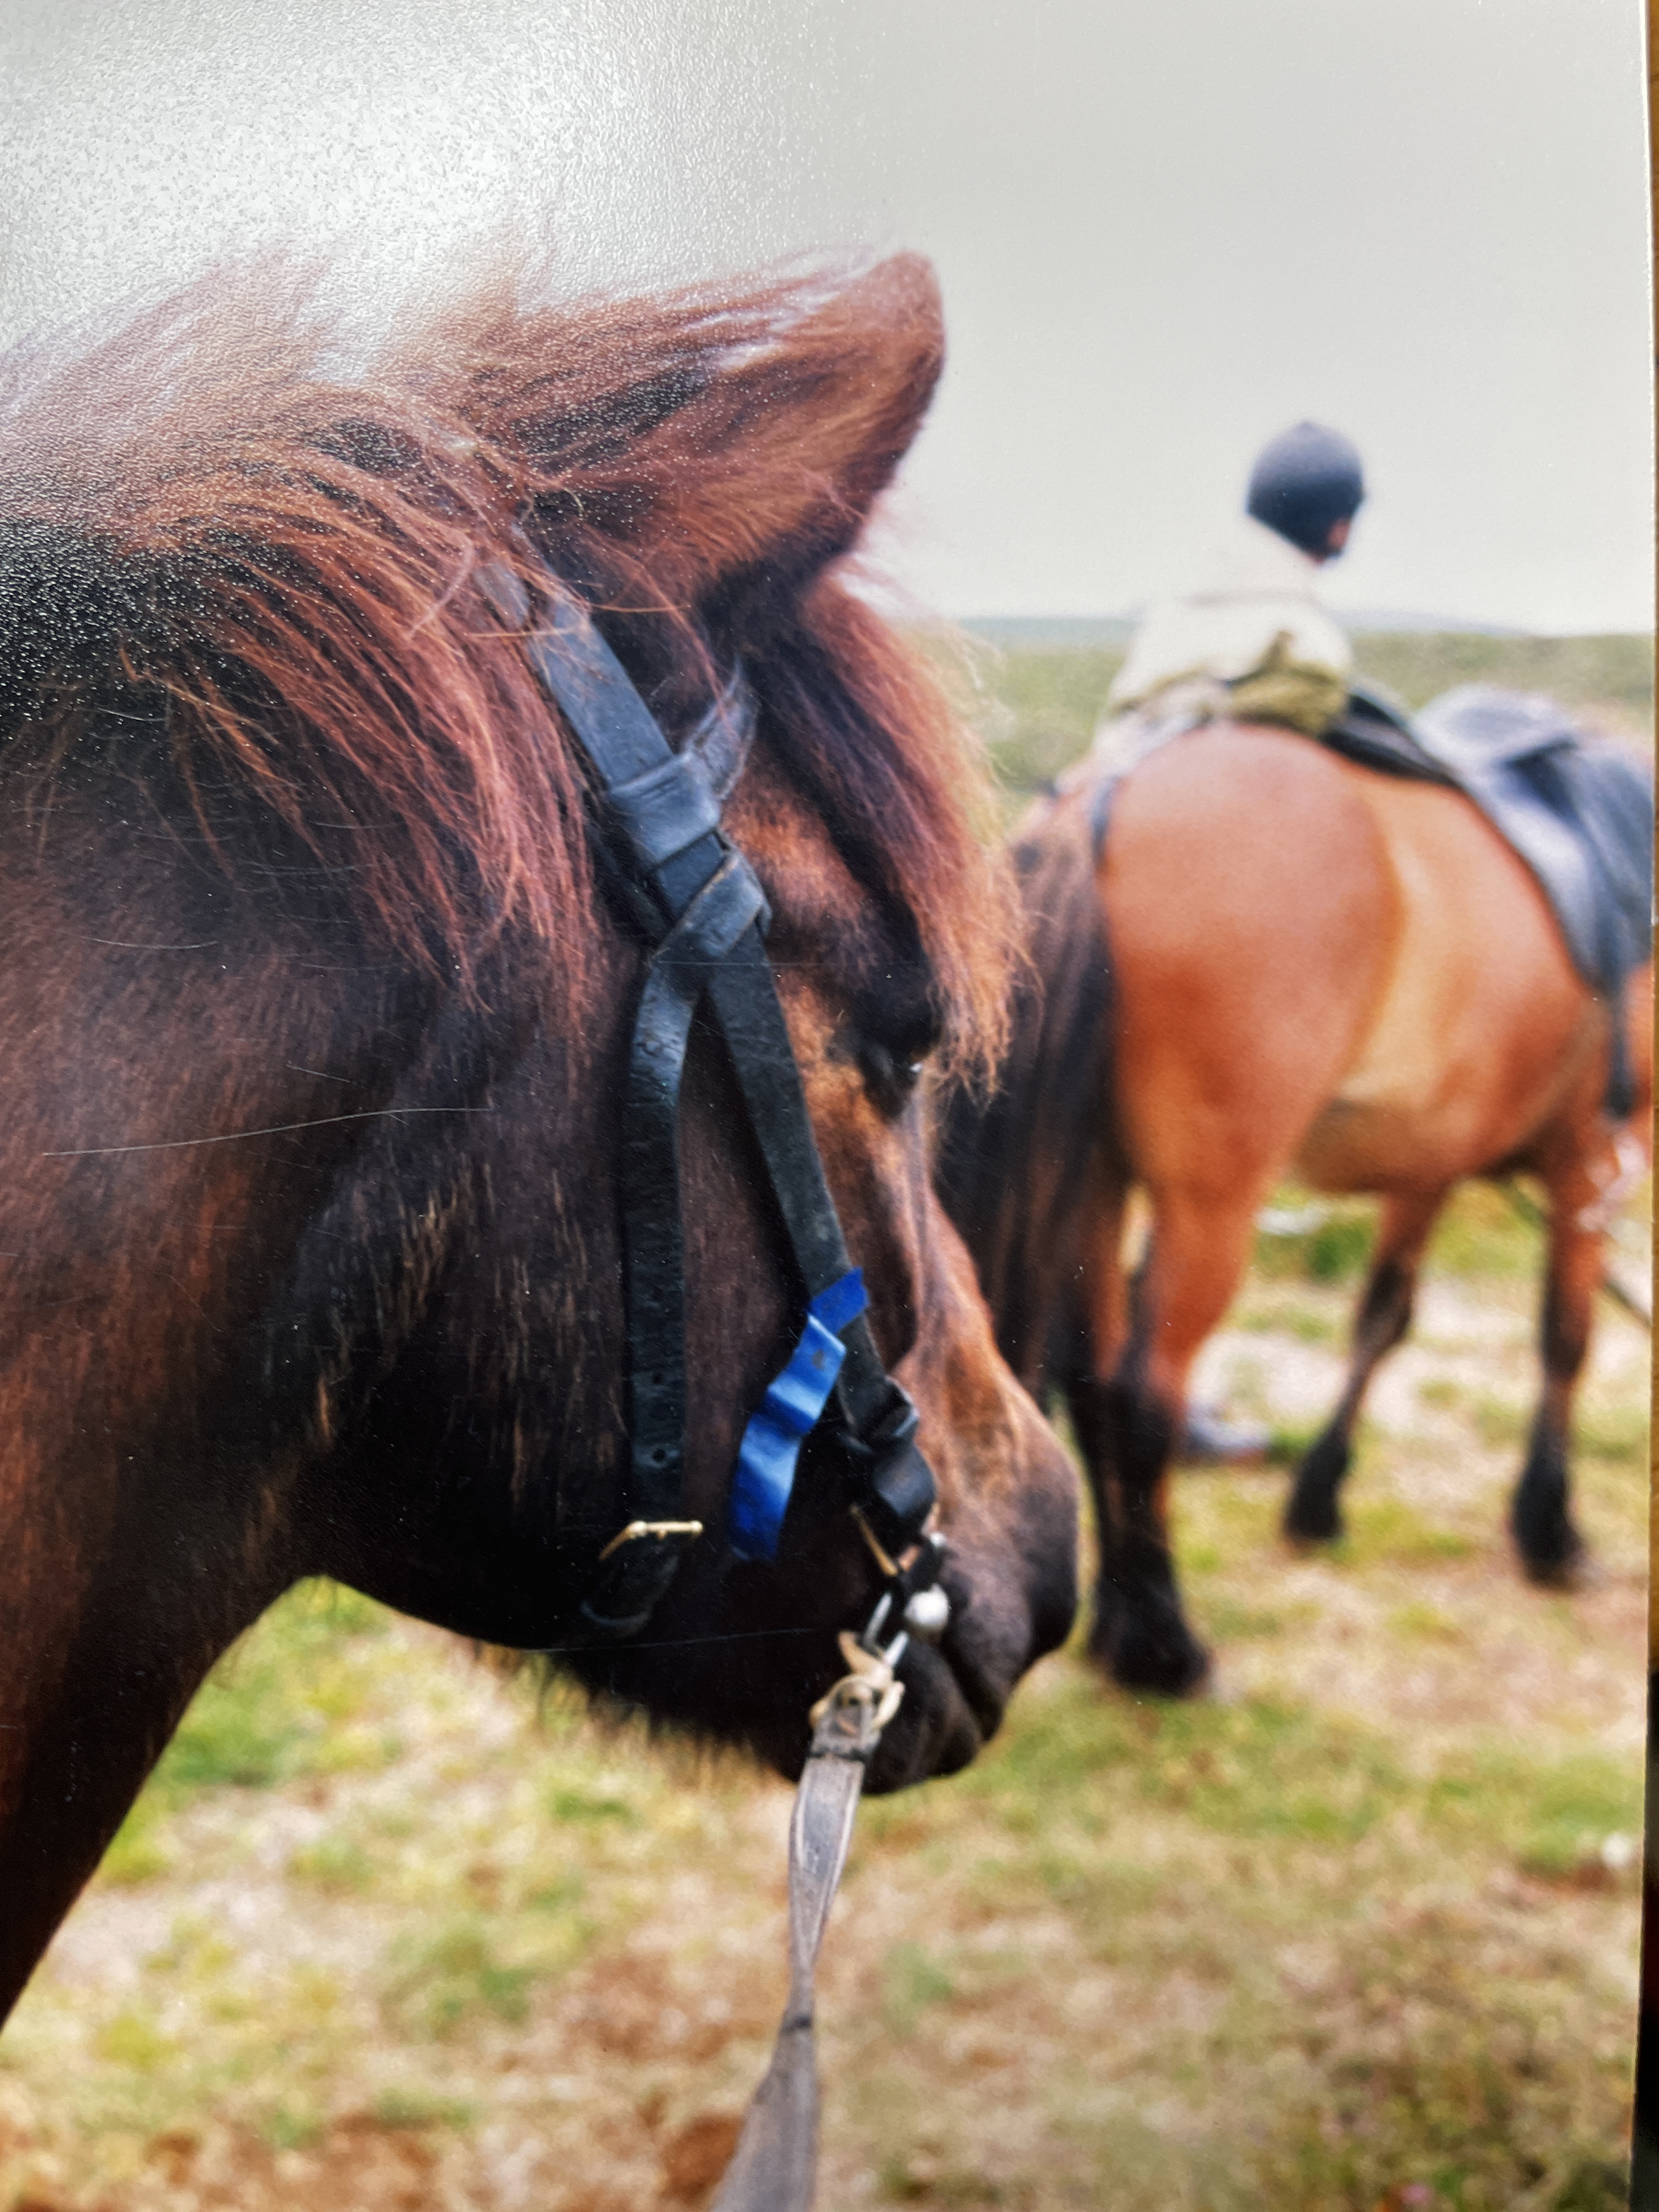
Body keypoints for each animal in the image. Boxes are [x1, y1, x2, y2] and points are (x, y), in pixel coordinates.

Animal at [938, 712, 1650, 1696]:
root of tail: (1109, 790)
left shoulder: (1426, 1166)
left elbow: (1381, 1318)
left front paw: (1318, 1496)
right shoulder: (1594, 1159)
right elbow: (1566, 1339)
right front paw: (1549, 1530)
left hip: (1097, 1184)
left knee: (1090, 1375)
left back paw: (1123, 1616)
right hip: (1210, 1206)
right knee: (1142, 1392)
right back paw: (1163, 1644)